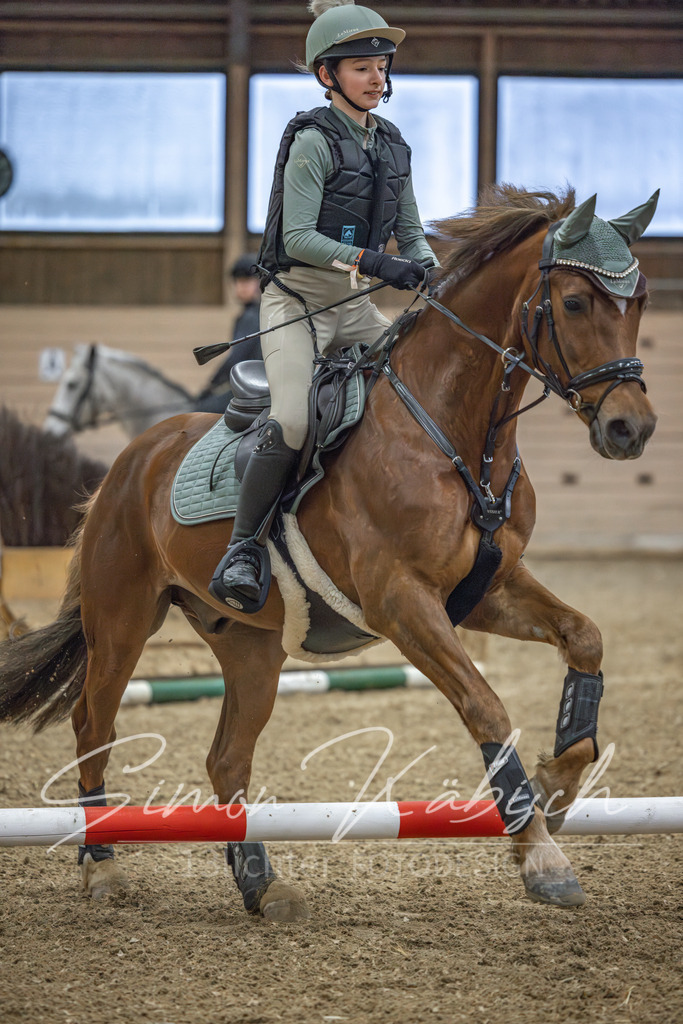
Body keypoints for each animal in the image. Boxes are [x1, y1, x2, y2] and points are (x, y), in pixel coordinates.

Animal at [0, 185, 658, 920]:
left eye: (638, 303)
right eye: (573, 303)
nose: (630, 429)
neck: (454, 433)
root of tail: (130, 460)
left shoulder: (488, 588)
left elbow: (584, 637)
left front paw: (557, 786)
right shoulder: (401, 600)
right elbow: (486, 706)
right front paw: (541, 853)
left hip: (251, 647)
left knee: (226, 757)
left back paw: (260, 882)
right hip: (122, 621)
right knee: (93, 725)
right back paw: (102, 865)